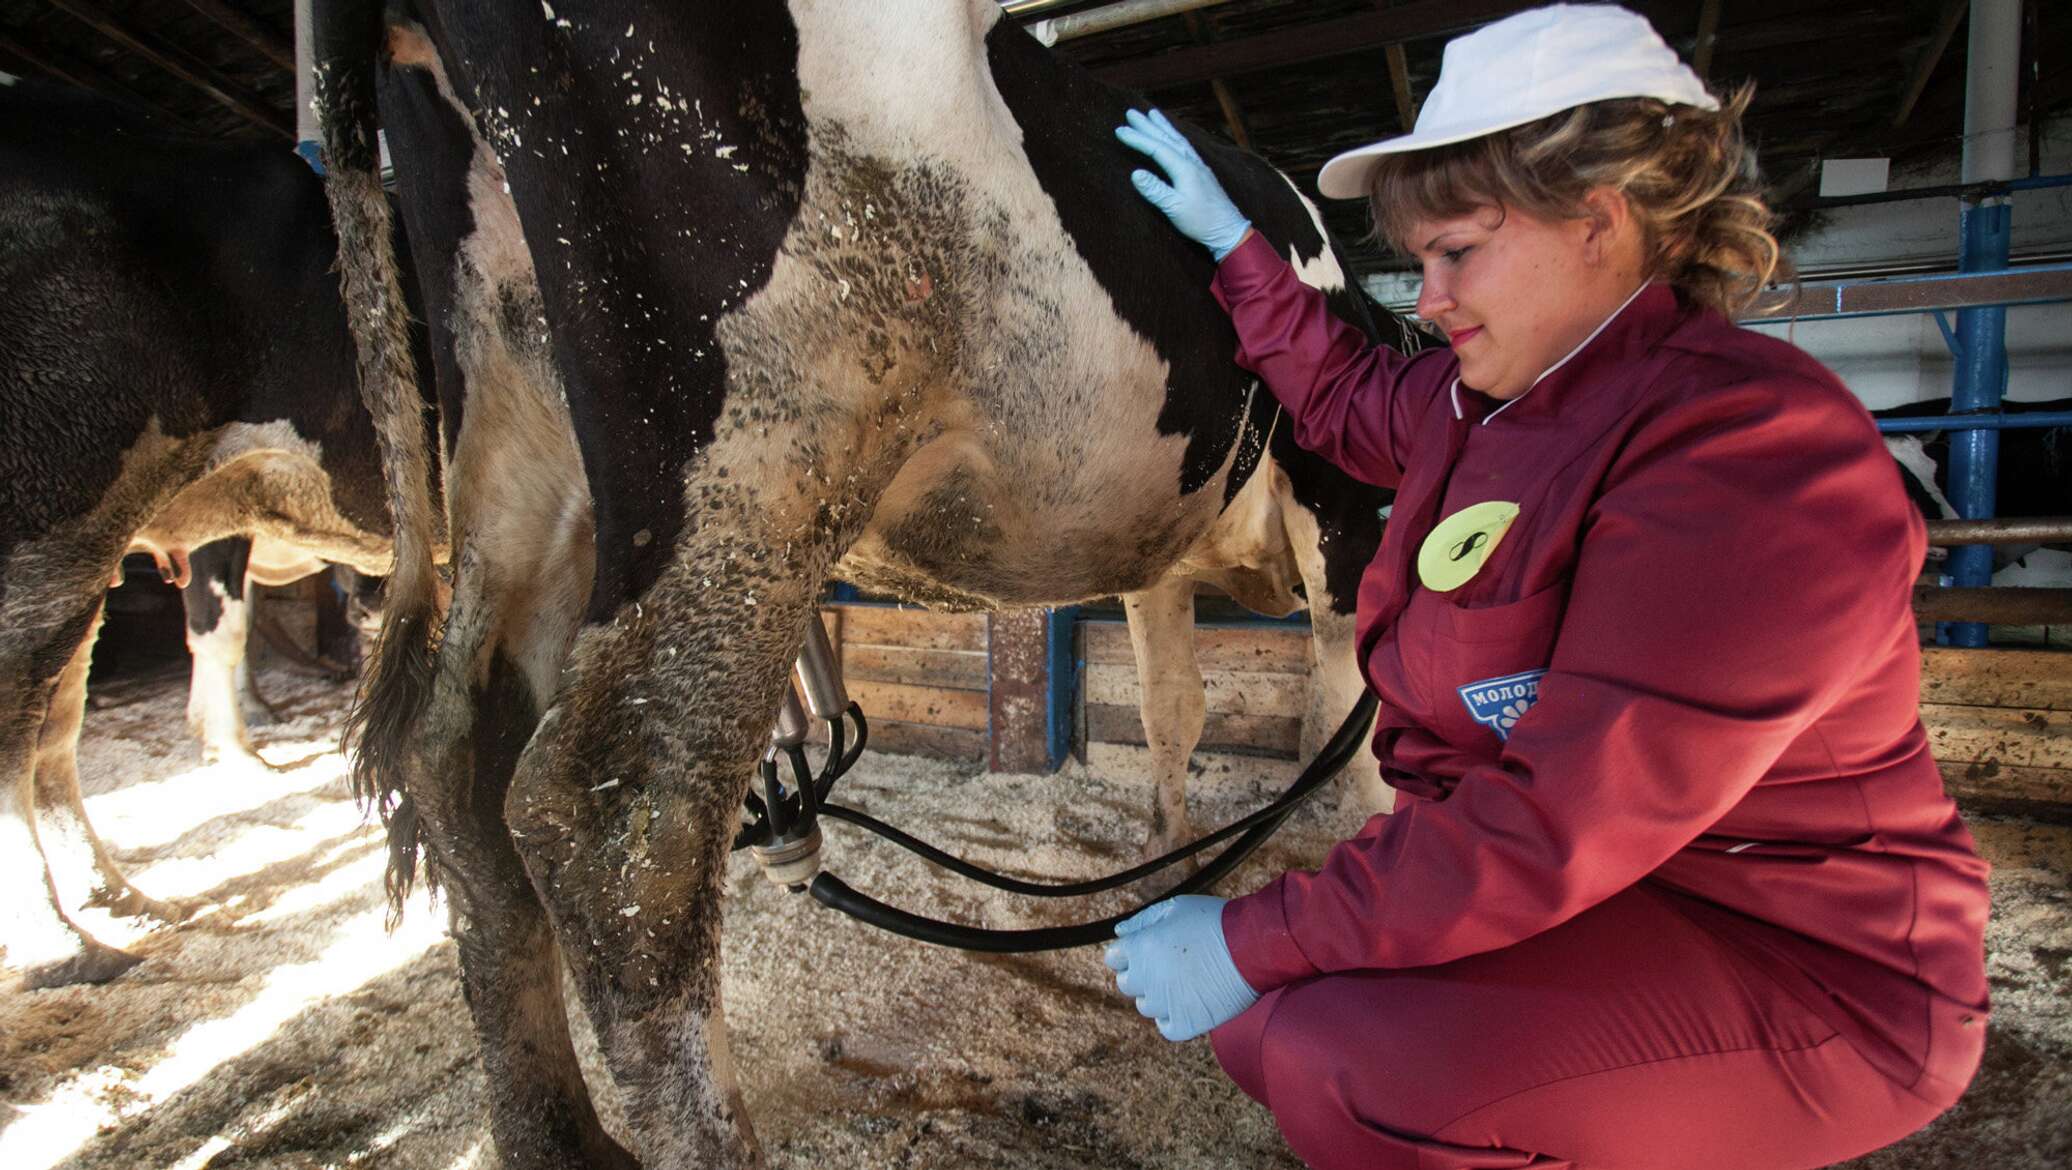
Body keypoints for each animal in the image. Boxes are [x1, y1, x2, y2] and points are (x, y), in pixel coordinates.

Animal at [314, 4, 1425, 1159]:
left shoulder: (1159, 552)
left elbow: (1174, 707)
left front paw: (1166, 862)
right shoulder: (1342, 512)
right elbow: (1346, 735)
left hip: (516, 433)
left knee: (457, 758)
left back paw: (558, 1139)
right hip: (762, 440)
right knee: (615, 818)